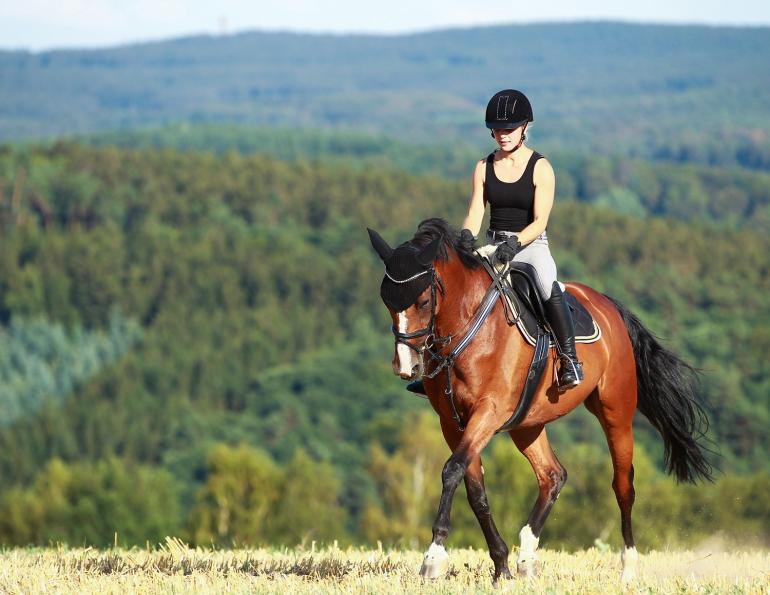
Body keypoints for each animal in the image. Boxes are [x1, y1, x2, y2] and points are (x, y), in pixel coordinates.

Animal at [367, 218, 712, 584]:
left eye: (421, 301)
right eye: (386, 300)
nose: (406, 367)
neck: (467, 329)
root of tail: (606, 304)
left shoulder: (488, 412)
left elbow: (451, 471)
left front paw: (434, 557)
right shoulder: (453, 422)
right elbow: (474, 489)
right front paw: (501, 565)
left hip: (615, 411)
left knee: (623, 485)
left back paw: (628, 568)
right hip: (527, 423)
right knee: (552, 475)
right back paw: (527, 556)